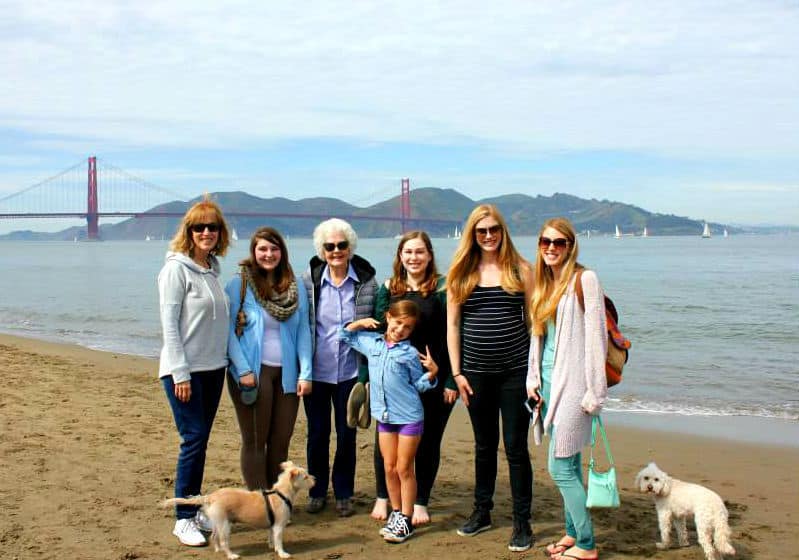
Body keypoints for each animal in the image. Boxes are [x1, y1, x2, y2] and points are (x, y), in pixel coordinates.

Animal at [161, 462, 314, 556]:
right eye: (306, 477)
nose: (316, 479)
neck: (281, 493)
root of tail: (211, 497)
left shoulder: (272, 525)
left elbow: (271, 537)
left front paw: (272, 547)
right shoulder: (278, 526)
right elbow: (279, 541)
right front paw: (282, 553)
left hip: (218, 523)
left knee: (214, 537)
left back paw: (218, 550)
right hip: (225, 526)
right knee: (224, 542)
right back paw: (232, 555)